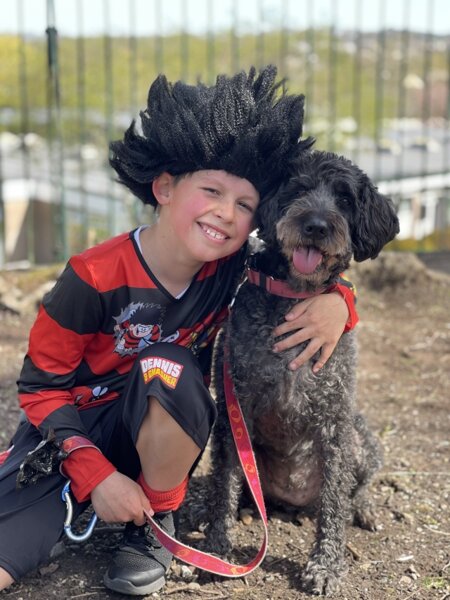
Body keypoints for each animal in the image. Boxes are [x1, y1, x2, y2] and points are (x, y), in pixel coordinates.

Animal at [202, 151, 400, 596]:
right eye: (298, 188)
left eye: (344, 199)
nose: (317, 225)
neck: (296, 293)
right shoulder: (235, 408)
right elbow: (223, 483)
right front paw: (218, 550)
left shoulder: (335, 420)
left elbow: (333, 502)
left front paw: (326, 565)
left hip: (360, 436)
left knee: (355, 486)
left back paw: (363, 508)